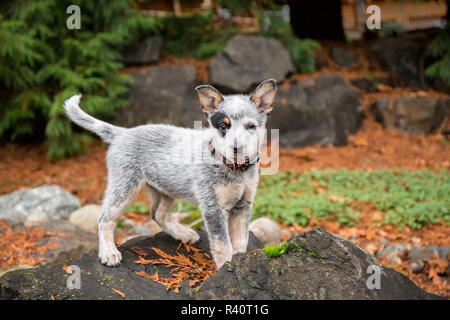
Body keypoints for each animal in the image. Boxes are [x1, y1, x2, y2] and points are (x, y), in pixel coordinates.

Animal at [62, 79, 274, 268]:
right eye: (223, 126)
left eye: (251, 126)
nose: (237, 148)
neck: (234, 168)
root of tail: (123, 133)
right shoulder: (213, 207)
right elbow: (222, 243)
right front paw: (225, 267)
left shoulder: (243, 206)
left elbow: (240, 241)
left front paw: (239, 261)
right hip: (125, 186)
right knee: (105, 218)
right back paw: (109, 252)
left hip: (165, 187)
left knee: (158, 214)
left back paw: (184, 234)